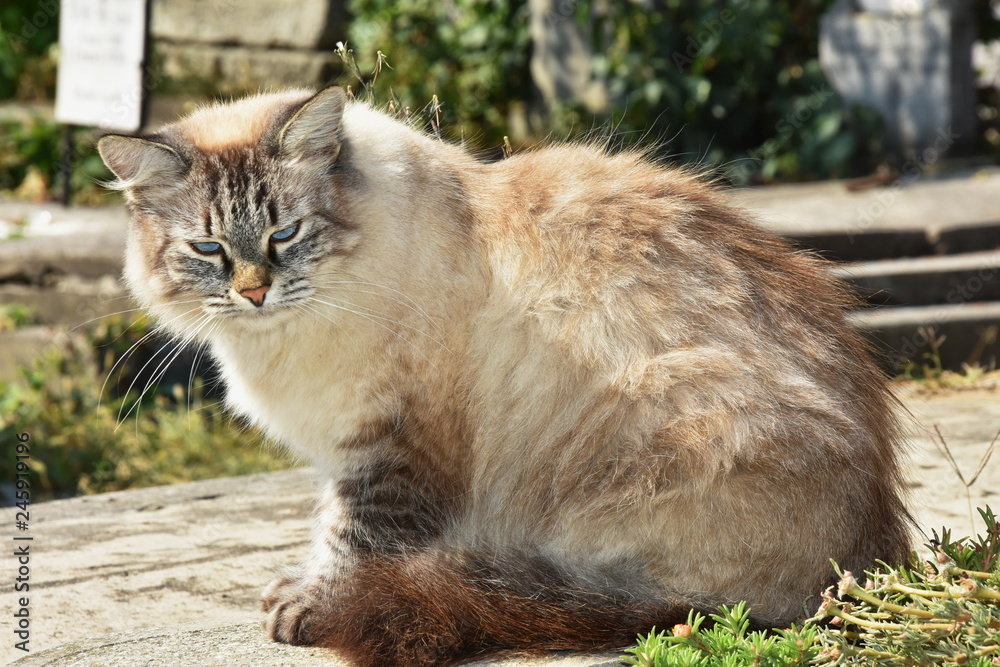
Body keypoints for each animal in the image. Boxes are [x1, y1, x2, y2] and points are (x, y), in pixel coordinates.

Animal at [97, 87, 912, 667]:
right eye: (208, 249)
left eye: (284, 234)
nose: (255, 292)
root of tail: (868, 571)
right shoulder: (357, 446)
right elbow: (329, 527)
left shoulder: (390, 447)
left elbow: (350, 537)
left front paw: (311, 609)